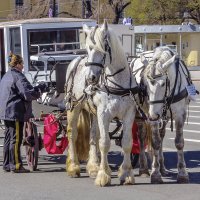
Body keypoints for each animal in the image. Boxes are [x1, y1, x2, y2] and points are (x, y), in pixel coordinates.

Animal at [143, 46, 191, 184]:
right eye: (145, 83)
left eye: (163, 83)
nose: (153, 116)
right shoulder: (152, 116)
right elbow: (155, 142)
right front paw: (155, 173)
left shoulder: (180, 114)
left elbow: (179, 142)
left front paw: (182, 173)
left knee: (162, 135)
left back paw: (163, 167)